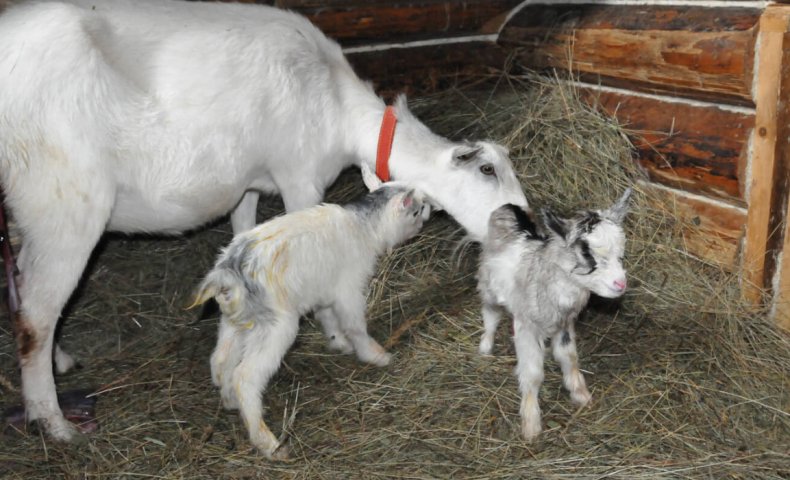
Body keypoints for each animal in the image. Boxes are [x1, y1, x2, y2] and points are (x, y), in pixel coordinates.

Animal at [0, 0, 532, 442]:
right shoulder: (300, 176)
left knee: (23, 289)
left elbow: (244, 231)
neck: (335, 103)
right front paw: (336, 334)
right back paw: (54, 422)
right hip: (64, 205)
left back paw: (60, 363)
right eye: (487, 170)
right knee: (35, 317)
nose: (523, 219)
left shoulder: (250, 185)